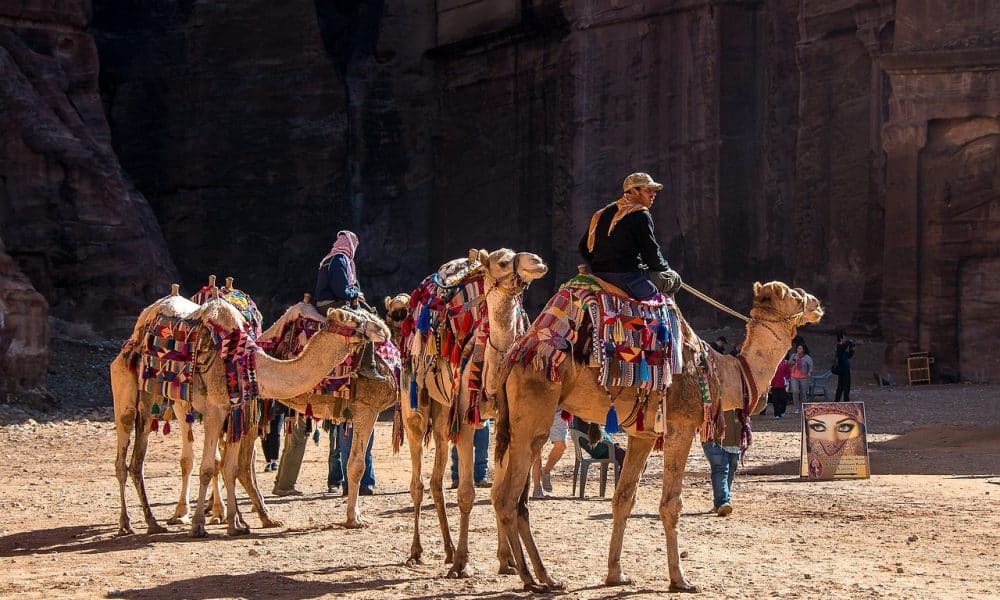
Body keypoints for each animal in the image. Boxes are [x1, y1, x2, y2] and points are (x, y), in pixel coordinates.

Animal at [112, 290, 386, 536]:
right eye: (355, 320)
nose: (382, 330)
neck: (249, 362)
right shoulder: (215, 410)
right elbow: (209, 467)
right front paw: (199, 525)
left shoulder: (236, 412)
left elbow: (230, 467)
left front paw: (235, 525)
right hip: (125, 390)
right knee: (123, 458)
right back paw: (127, 523)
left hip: (153, 402)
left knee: (138, 461)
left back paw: (153, 523)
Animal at [400, 247, 548, 576]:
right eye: (502, 262)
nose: (537, 261)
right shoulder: (466, 424)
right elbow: (467, 494)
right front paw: (462, 563)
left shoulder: (503, 423)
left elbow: (496, 493)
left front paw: (506, 561)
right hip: (414, 407)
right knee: (417, 482)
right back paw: (417, 551)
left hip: (443, 414)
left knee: (435, 480)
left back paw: (446, 549)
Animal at [490, 280, 820, 592]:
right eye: (793, 295)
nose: (816, 303)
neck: (722, 372)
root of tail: (513, 360)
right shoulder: (680, 427)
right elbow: (671, 504)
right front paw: (680, 580)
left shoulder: (643, 435)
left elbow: (623, 499)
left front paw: (616, 574)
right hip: (533, 414)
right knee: (508, 499)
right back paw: (530, 578)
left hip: (514, 427)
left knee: (508, 497)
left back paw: (544, 576)